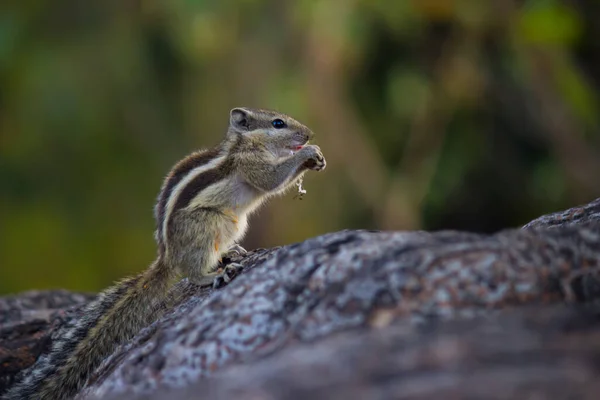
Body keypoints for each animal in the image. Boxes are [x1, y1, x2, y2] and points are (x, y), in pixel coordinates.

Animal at [3, 107, 324, 400]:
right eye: (278, 123)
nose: (309, 134)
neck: (245, 144)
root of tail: (168, 257)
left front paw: (316, 156)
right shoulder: (251, 164)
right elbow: (271, 179)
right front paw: (308, 153)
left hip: (234, 223)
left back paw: (230, 253)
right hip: (209, 223)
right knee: (192, 272)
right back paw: (214, 275)